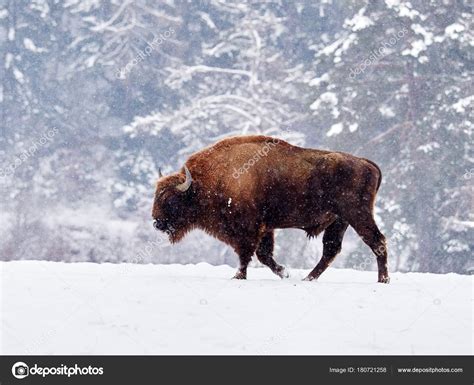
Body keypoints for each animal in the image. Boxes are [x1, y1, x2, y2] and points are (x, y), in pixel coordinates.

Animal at [152, 135, 388, 282]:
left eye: (170, 200)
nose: (156, 222)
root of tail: (366, 163)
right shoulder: (265, 229)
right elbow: (263, 255)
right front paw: (285, 273)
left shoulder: (248, 229)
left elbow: (247, 254)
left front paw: (238, 276)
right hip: (340, 220)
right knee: (331, 249)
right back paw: (307, 278)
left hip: (356, 214)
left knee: (377, 242)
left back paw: (382, 280)